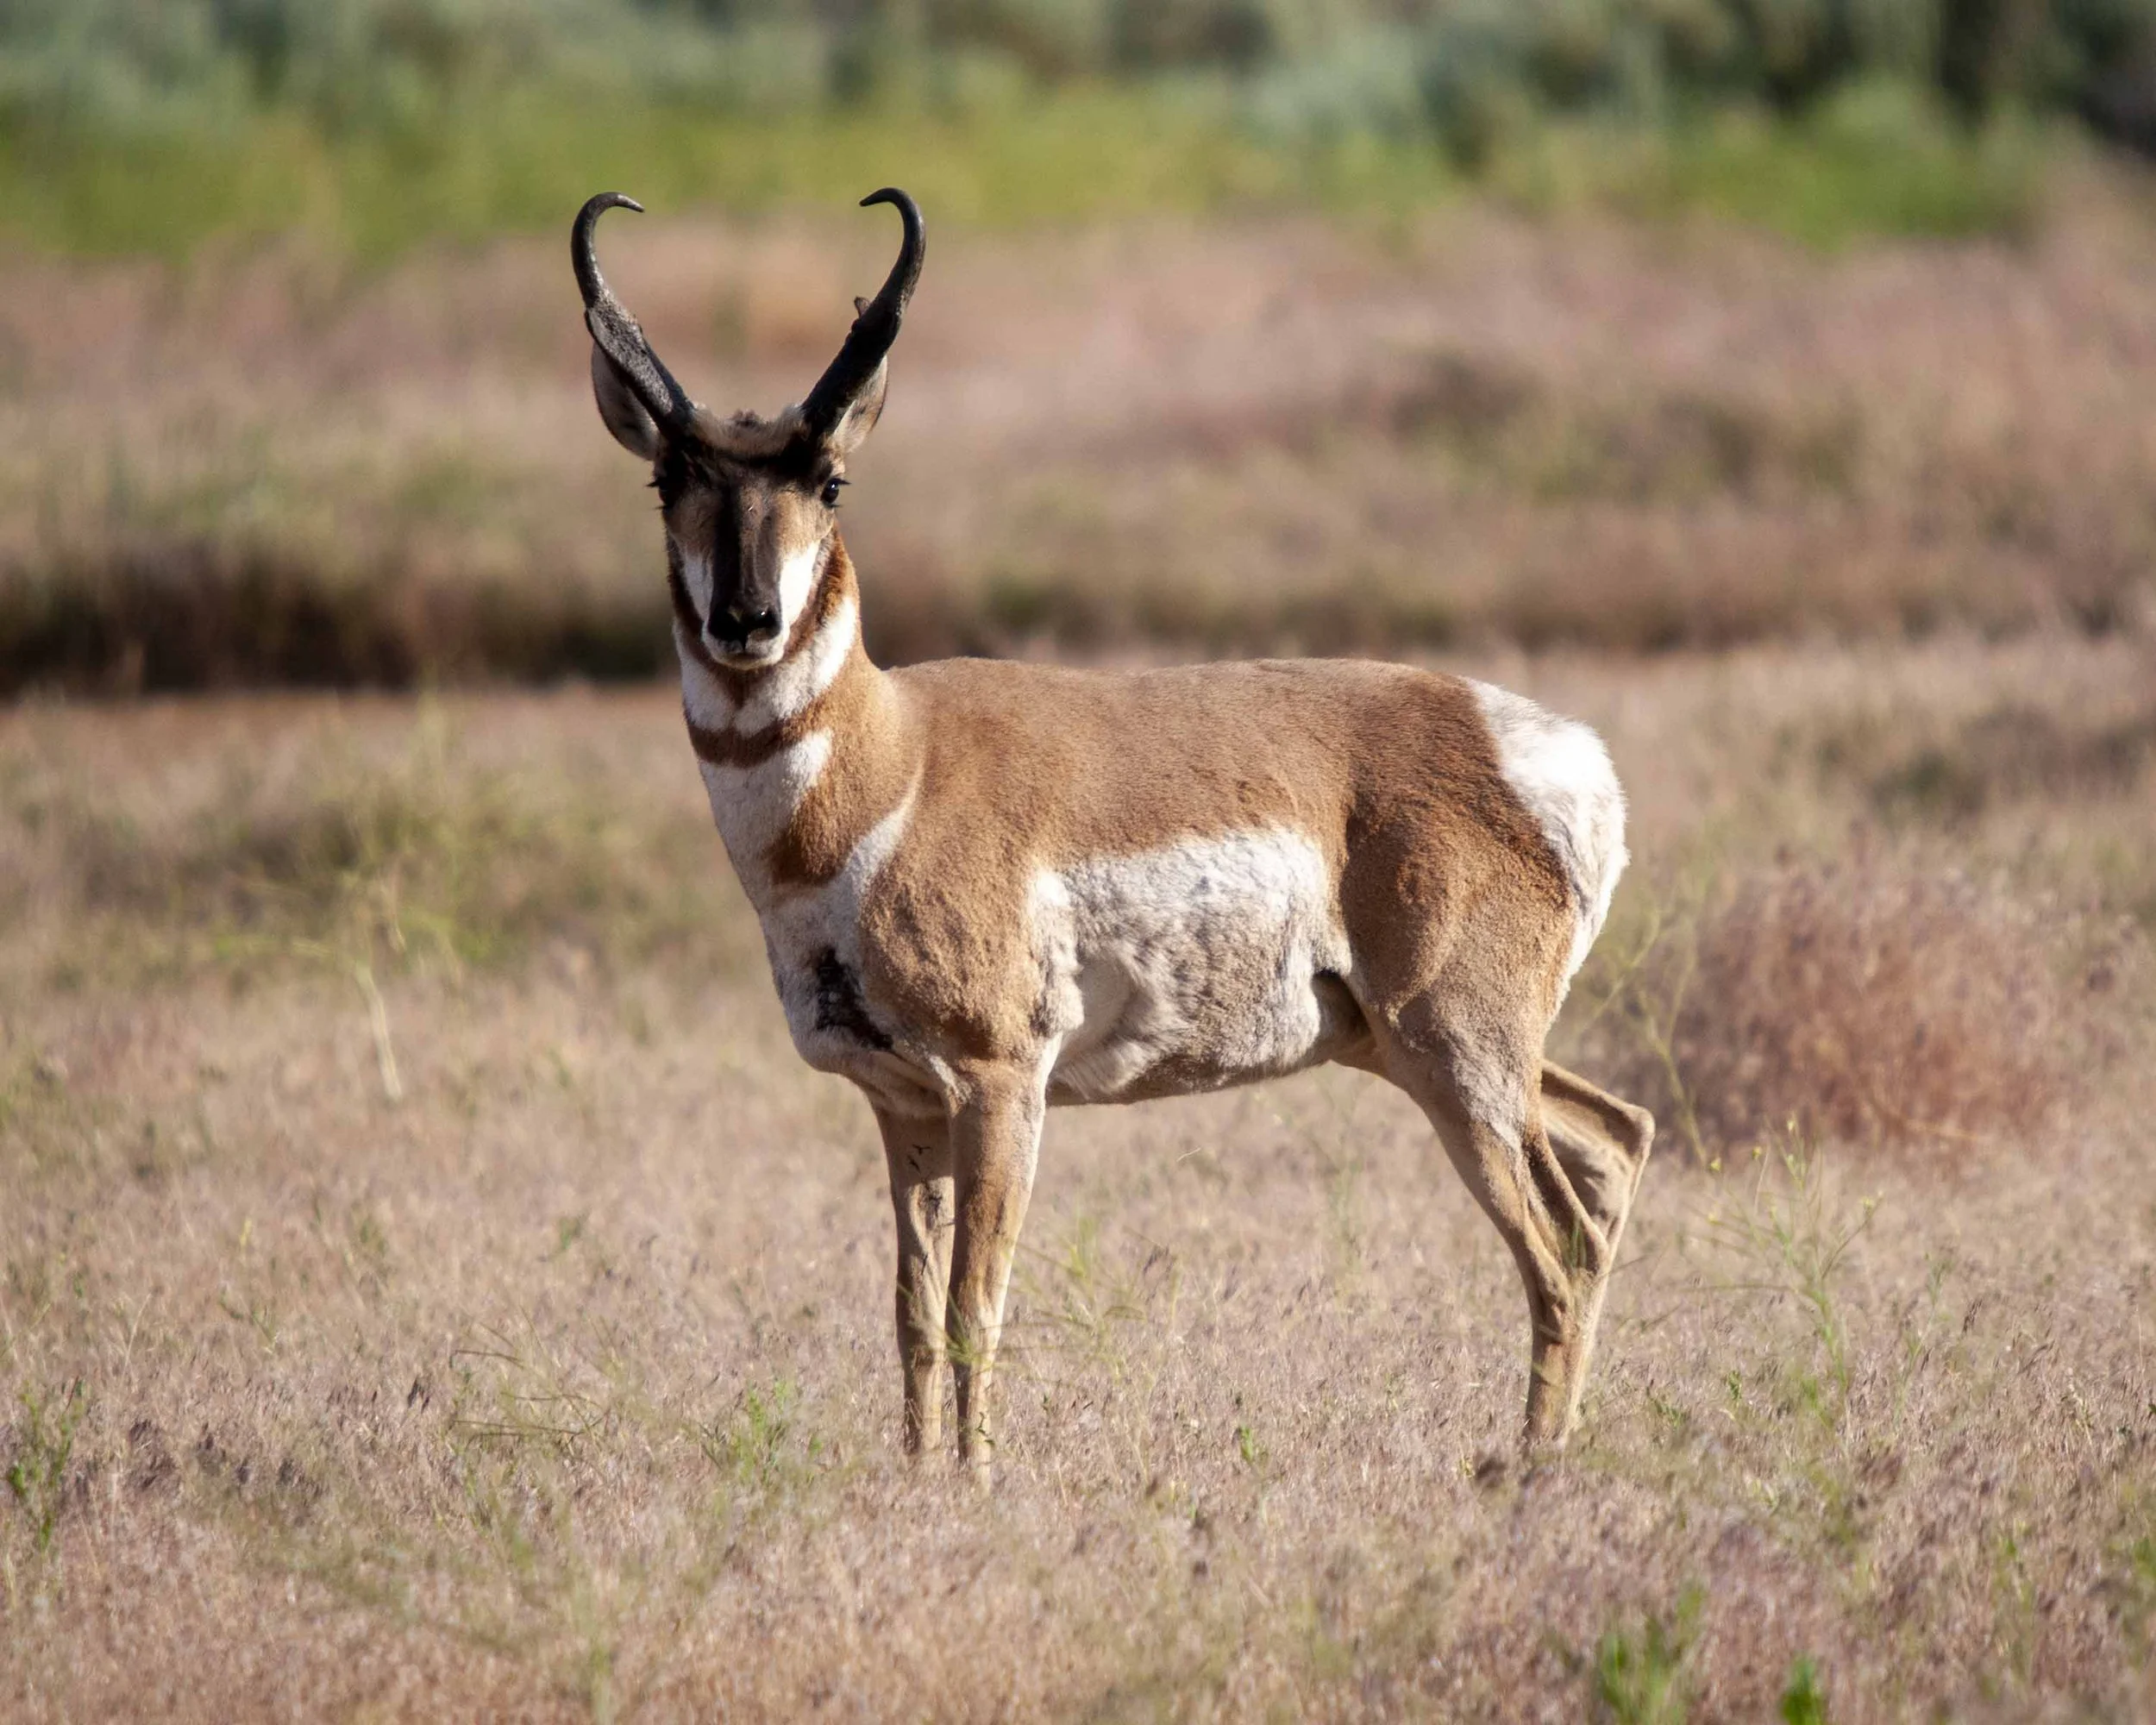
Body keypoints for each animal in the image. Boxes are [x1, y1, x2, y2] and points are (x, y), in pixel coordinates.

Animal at [573, 188, 1654, 1479]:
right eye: (668, 481)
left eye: (829, 480)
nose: (747, 619)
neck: (895, 764)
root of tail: (1538, 746)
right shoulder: (903, 1108)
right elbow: (908, 1316)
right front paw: (916, 1481)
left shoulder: (1000, 1084)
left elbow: (974, 1304)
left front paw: (978, 1483)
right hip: (1426, 1051)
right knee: (1615, 1143)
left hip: (1457, 1058)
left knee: (1558, 1246)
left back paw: (1520, 1470)